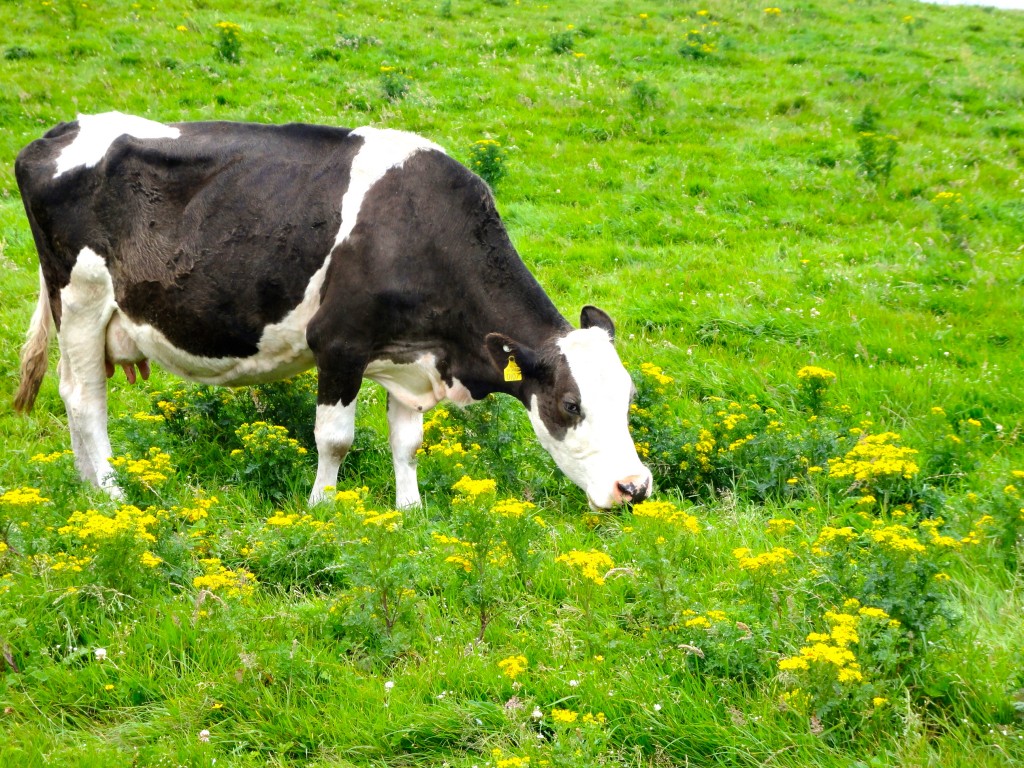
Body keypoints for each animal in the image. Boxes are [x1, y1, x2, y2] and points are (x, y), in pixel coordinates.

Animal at [13, 112, 652, 510]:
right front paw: (322, 505)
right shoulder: (340, 344)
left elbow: (407, 441)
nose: (635, 487)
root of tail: (55, 135)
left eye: (628, 397)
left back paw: (88, 487)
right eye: (570, 404)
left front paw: (411, 509)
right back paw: (112, 493)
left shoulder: (410, 353)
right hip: (81, 297)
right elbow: (335, 438)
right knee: (84, 398)